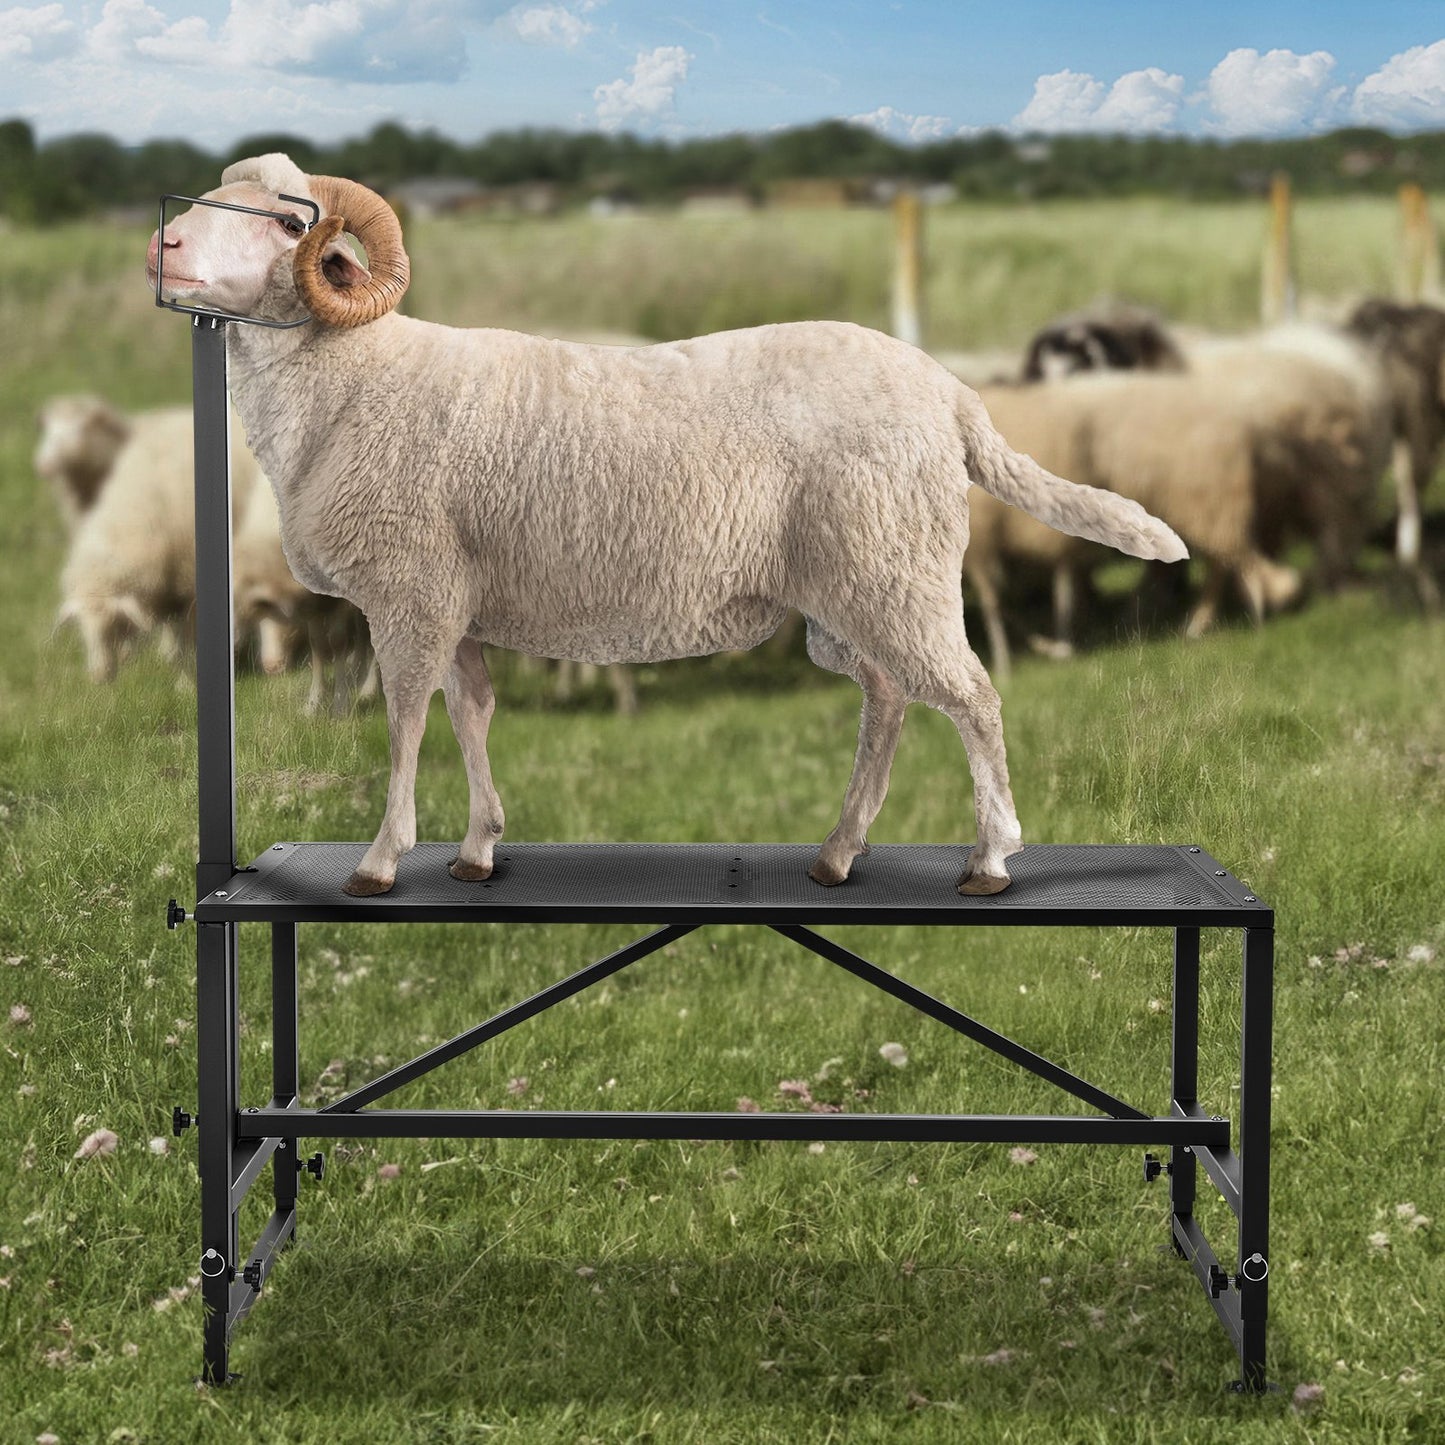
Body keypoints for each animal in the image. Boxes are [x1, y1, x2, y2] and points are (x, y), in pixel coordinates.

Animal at [59, 407, 260, 681]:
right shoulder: (166, 584)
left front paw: (185, 680)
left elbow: (189, 637)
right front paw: (172, 661)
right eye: (82, 631)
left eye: (114, 625)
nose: (99, 678)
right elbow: (172, 637)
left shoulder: (188, 584)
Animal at [149, 153, 1186, 898]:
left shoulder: (411, 591)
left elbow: (406, 722)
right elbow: (471, 711)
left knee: (970, 697)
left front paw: (379, 859)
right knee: (889, 697)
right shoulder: (456, 598)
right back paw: (838, 852)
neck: (353, 375)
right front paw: (478, 848)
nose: (164, 244)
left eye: (292, 221)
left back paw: (990, 859)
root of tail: (949, 393)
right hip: (852, 592)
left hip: (896, 571)